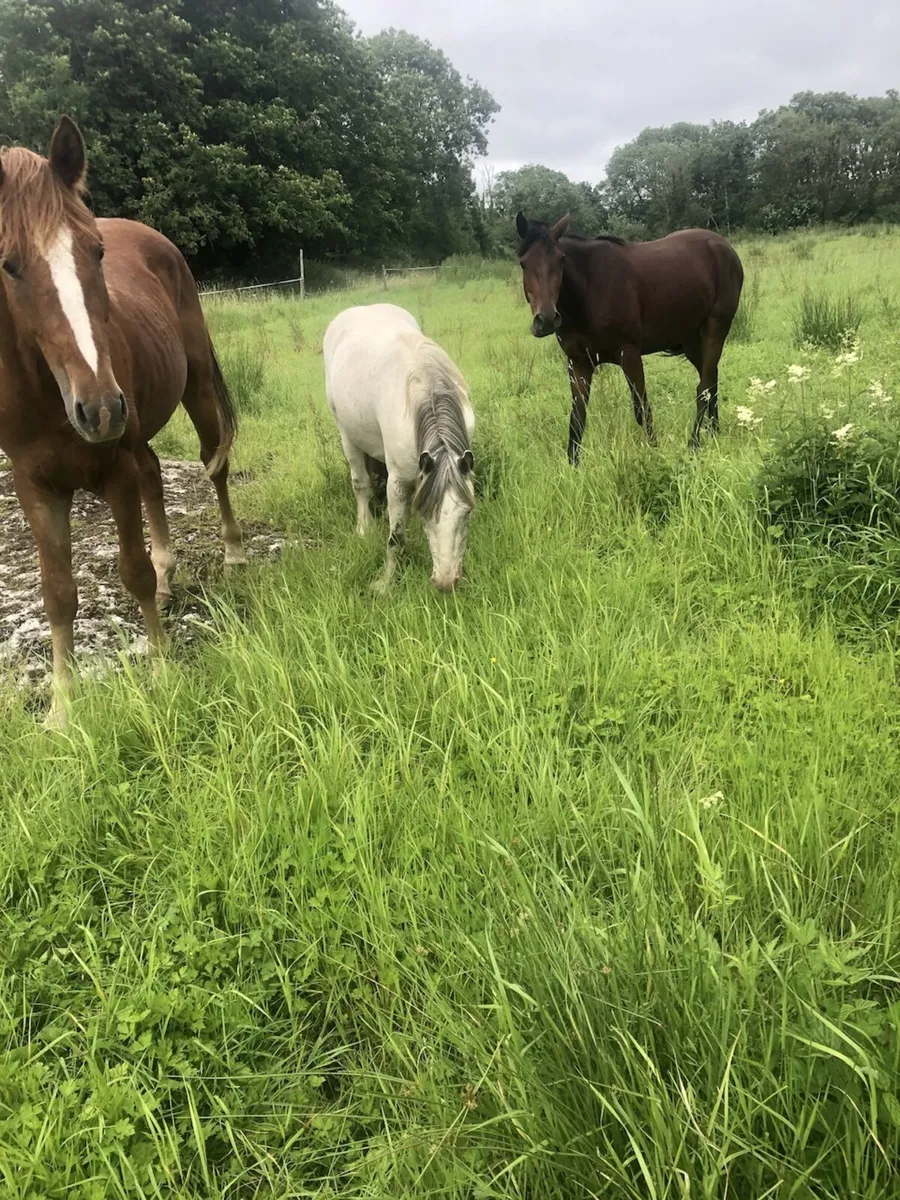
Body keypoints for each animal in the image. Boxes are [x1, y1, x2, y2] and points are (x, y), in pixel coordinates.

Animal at [0, 116, 245, 728]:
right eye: (9, 265)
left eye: (96, 252)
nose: (101, 408)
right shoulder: (35, 486)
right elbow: (57, 593)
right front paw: (61, 710)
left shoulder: (114, 470)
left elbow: (131, 571)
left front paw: (159, 671)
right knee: (155, 473)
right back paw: (169, 573)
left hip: (194, 391)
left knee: (214, 466)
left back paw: (232, 552)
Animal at [323, 303, 475, 593]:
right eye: (426, 513)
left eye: (467, 512)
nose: (445, 582)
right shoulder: (398, 481)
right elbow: (395, 537)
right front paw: (386, 582)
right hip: (346, 435)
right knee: (360, 483)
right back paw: (364, 527)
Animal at [515, 212, 744, 462]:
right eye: (523, 263)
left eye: (561, 260)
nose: (546, 319)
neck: (589, 291)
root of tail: (724, 247)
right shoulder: (578, 363)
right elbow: (577, 418)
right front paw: (572, 466)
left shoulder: (630, 354)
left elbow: (641, 409)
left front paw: (655, 454)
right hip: (692, 340)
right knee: (711, 379)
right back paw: (714, 433)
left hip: (715, 329)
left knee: (703, 387)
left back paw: (694, 443)